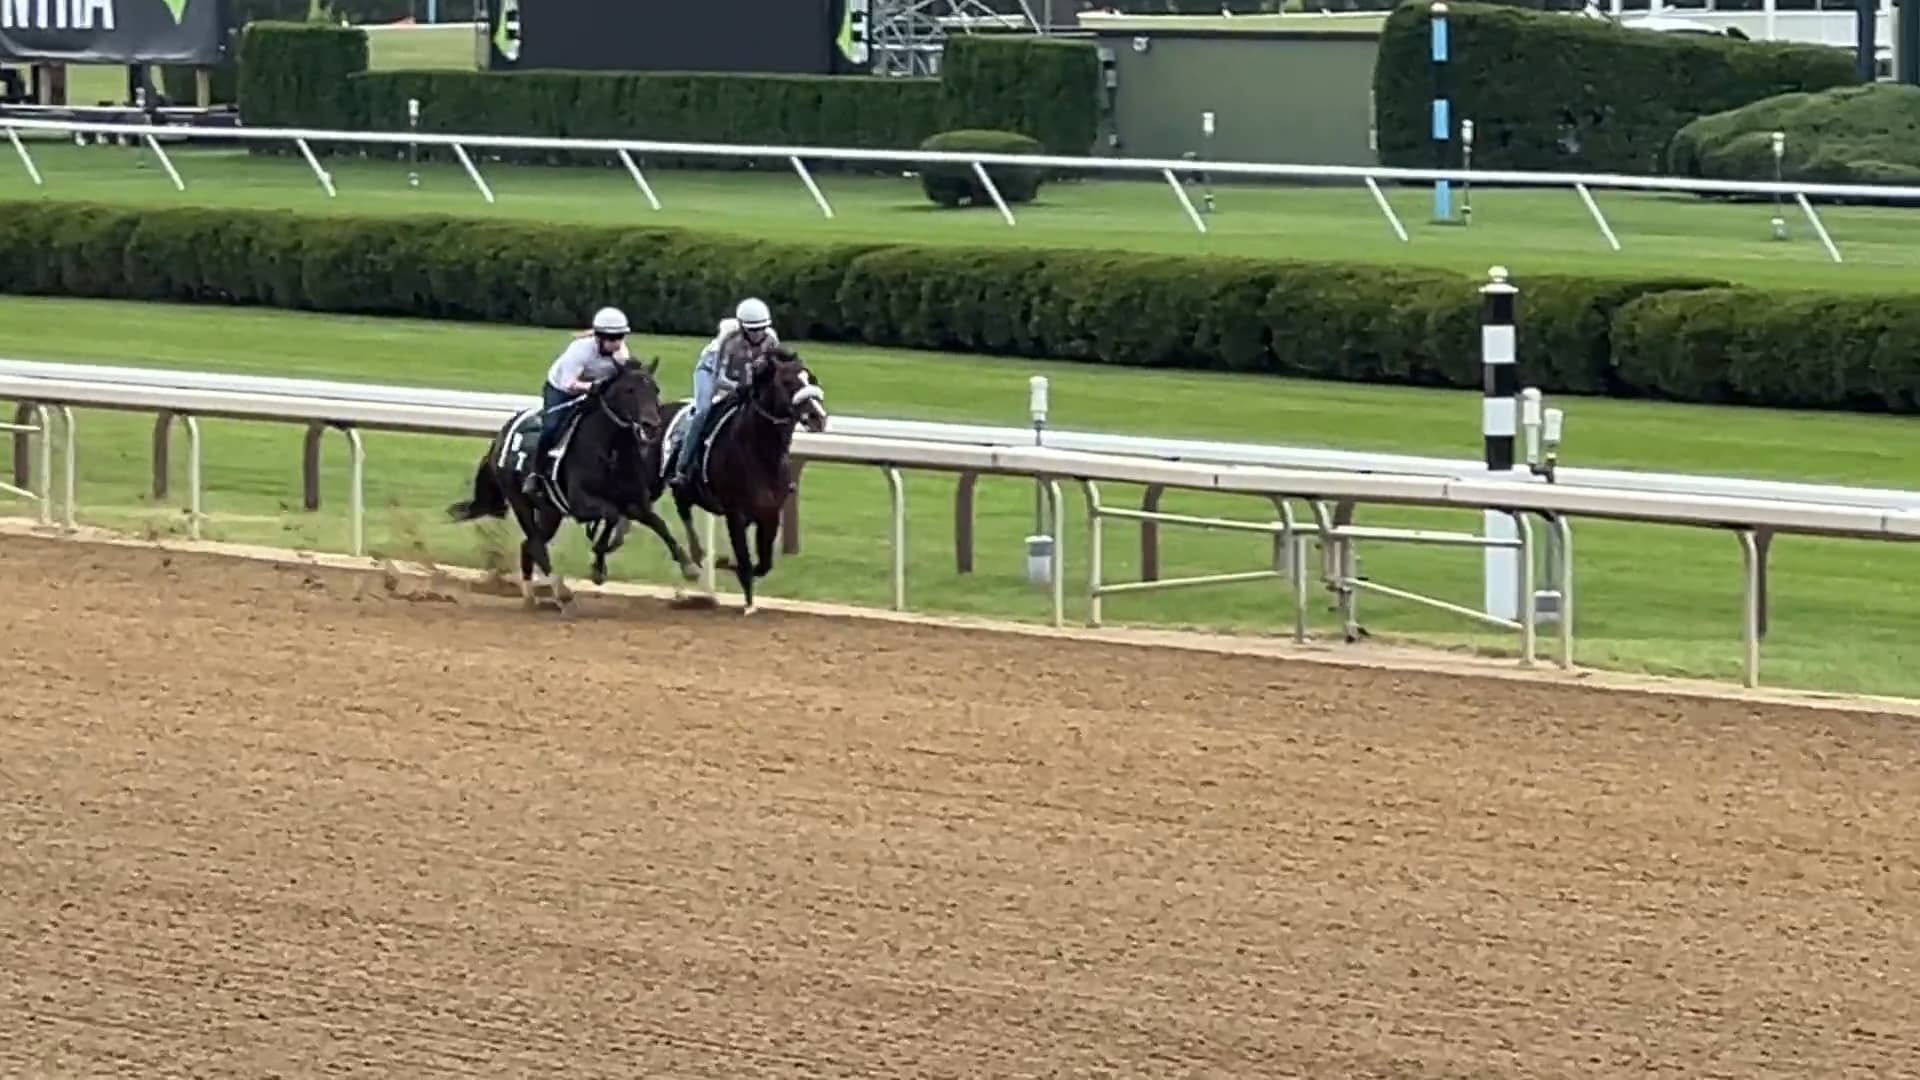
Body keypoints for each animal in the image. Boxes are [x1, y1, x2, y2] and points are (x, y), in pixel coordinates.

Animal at [652, 345, 825, 614]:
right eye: (787, 382)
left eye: (812, 379)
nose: (818, 417)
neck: (758, 452)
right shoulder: (735, 513)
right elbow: (744, 559)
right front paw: (745, 598)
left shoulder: (770, 513)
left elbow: (764, 563)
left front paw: (729, 567)